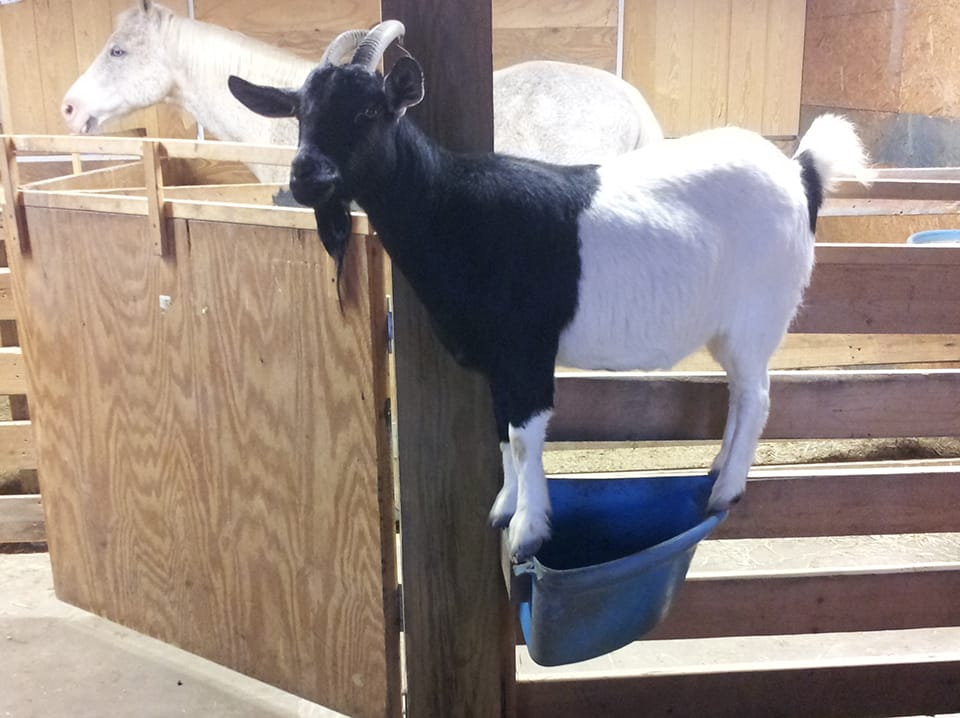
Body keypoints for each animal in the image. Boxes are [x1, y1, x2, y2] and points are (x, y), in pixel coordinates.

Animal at [229, 22, 870, 562]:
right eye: (299, 115)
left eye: (368, 109)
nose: (306, 176)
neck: (453, 208)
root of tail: (799, 171)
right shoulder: (497, 361)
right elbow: (501, 432)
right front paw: (505, 509)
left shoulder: (526, 346)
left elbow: (523, 435)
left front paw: (526, 532)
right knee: (740, 396)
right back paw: (714, 471)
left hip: (759, 314)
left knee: (757, 396)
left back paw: (725, 492)